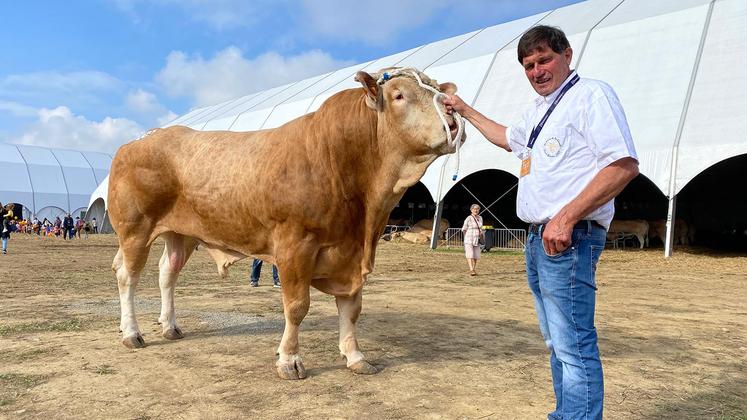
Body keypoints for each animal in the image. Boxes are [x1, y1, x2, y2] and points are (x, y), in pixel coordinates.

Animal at [108, 66, 464, 380]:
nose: (451, 118)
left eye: (436, 90)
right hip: (135, 228)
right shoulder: (296, 245)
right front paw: (290, 360)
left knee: (167, 273)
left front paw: (355, 356)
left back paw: (170, 326)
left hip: (180, 233)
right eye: (399, 95)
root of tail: (140, 139)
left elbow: (352, 308)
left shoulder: (351, 254)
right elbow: (297, 306)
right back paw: (131, 333)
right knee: (128, 276)